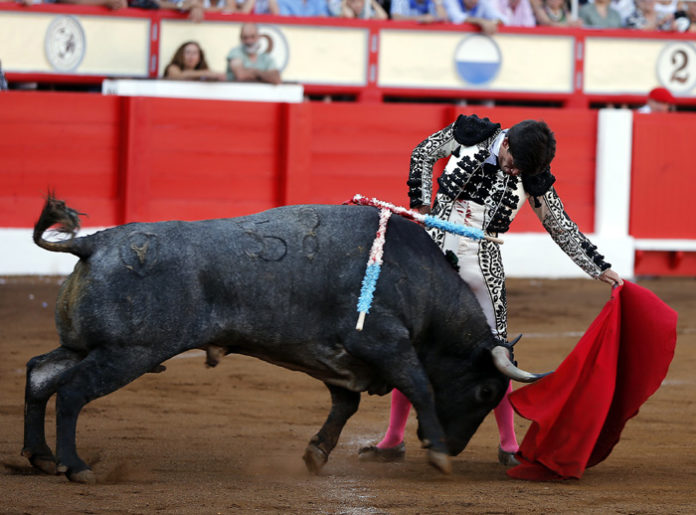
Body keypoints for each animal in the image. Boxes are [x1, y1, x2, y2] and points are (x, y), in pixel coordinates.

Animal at [23, 197, 544, 484]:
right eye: (485, 391)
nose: (454, 448)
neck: (418, 280)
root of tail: (93, 243)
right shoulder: (387, 344)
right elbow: (419, 386)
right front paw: (434, 450)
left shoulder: (340, 363)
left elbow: (345, 404)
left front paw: (316, 454)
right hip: (127, 354)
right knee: (71, 392)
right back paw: (75, 465)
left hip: (84, 347)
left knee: (40, 375)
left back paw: (41, 457)